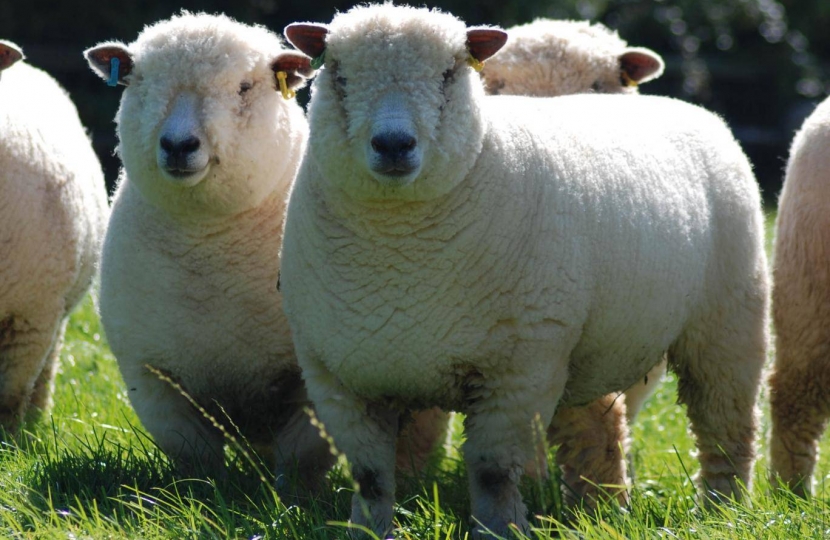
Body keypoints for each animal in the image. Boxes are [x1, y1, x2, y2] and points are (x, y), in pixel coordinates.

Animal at [84, 12, 443, 485]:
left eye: (244, 87)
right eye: (138, 82)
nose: (179, 145)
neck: (208, 241)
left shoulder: (312, 379)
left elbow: (300, 458)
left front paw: (291, 498)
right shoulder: (151, 378)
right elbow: (195, 457)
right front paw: (204, 493)